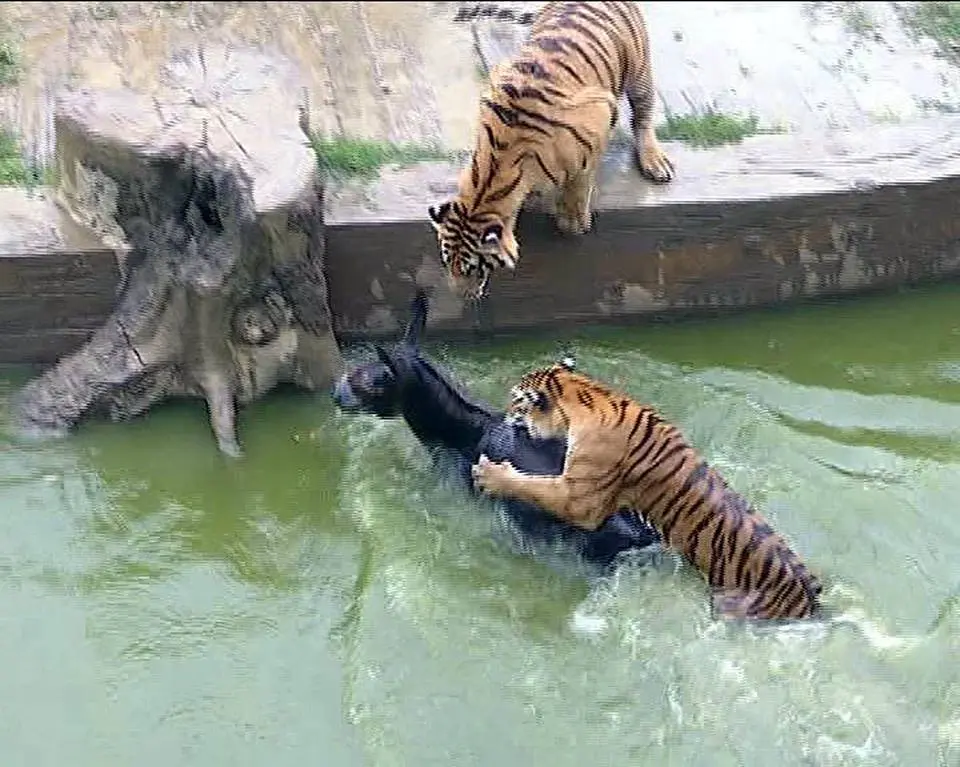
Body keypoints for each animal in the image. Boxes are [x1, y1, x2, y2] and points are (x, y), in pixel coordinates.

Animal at [428, 3, 676, 304]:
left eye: (472, 269)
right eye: (447, 263)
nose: (461, 296)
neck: (493, 170)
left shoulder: (600, 111)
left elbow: (582, 174)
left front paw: (573, 219)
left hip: (638, 67)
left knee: (643, 113)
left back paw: (655, 161)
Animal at [468, 356, 820, 620]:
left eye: (515, 400)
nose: (503, 412)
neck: (585, 396)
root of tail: (813, 603)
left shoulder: (579, 500)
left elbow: (532, 486)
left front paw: (489, 474)